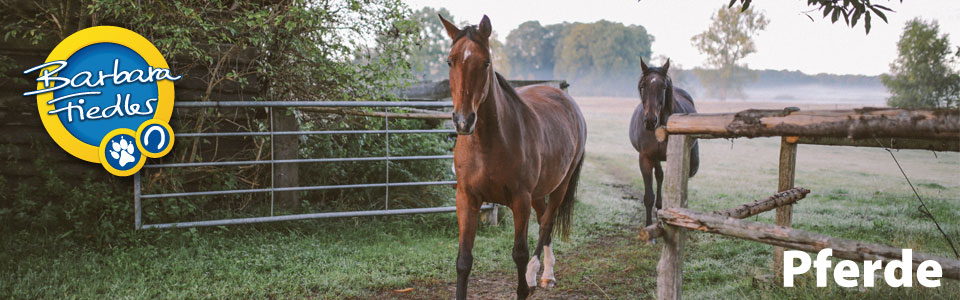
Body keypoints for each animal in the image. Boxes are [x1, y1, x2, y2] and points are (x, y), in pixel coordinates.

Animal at [440, 14, 588, 300]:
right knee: (543, 220)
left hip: (560, 186)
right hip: (539, 192)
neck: (489, 143)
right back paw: (542, 274)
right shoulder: (466, 198)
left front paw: (524, 285)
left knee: (546, 224)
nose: (463, 121)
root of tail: (565, 99)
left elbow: (519, 253)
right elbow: (463, 260)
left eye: (486, 62)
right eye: (450, 61)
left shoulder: (520, 200)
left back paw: (537, 275)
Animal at [628, 59, 700, 231]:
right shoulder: (646, 158)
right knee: (659, 176)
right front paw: (649, 224)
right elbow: (649, 196)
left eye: (663, 87)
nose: (650, 121)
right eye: (643, 86)